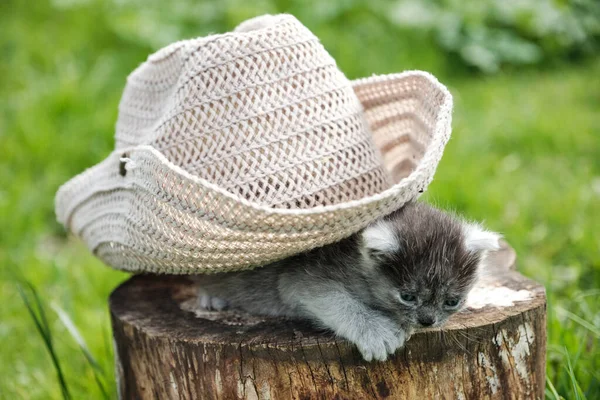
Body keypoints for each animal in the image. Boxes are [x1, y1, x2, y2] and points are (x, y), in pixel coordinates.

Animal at [193, 202, 502, 360]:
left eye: (452, 301)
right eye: (407, 296)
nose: (427, 320)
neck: (356, 260)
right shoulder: (301, 277)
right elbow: (338, 302)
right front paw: (377, 332)